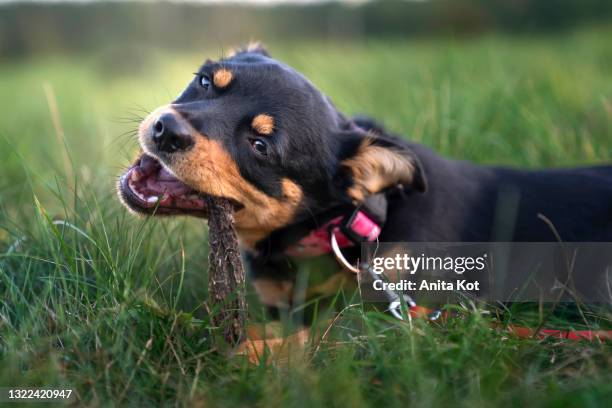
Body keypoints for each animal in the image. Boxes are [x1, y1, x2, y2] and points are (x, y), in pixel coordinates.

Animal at [118, 43, 612, 362]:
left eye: (260, 146)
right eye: (204, 81)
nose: (165, 130)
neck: (338, 228)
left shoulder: (402, 318)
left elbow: (319, 333)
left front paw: (239, 350)